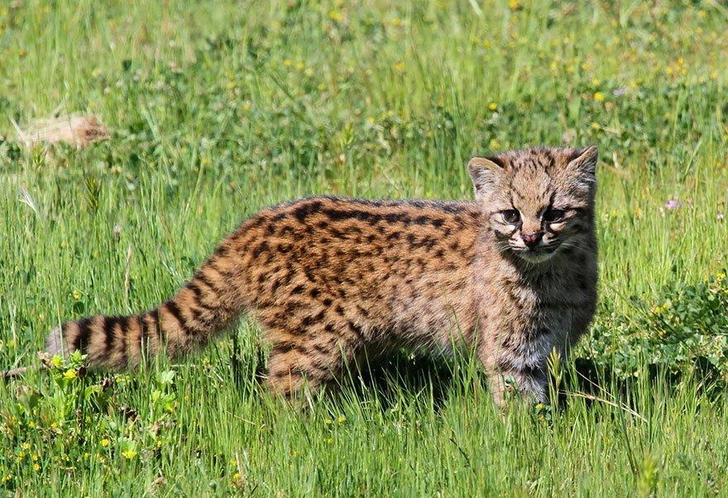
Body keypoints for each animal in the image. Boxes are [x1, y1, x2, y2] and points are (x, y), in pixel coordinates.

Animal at [45, 145, 596, 404]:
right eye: (510, 215)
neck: (551, 272)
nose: (531, 238)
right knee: (281, 394)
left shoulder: (542, 352)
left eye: (553, 213)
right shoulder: (511, 353)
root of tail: (254, 223)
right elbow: (519, 408)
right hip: (313, 338)